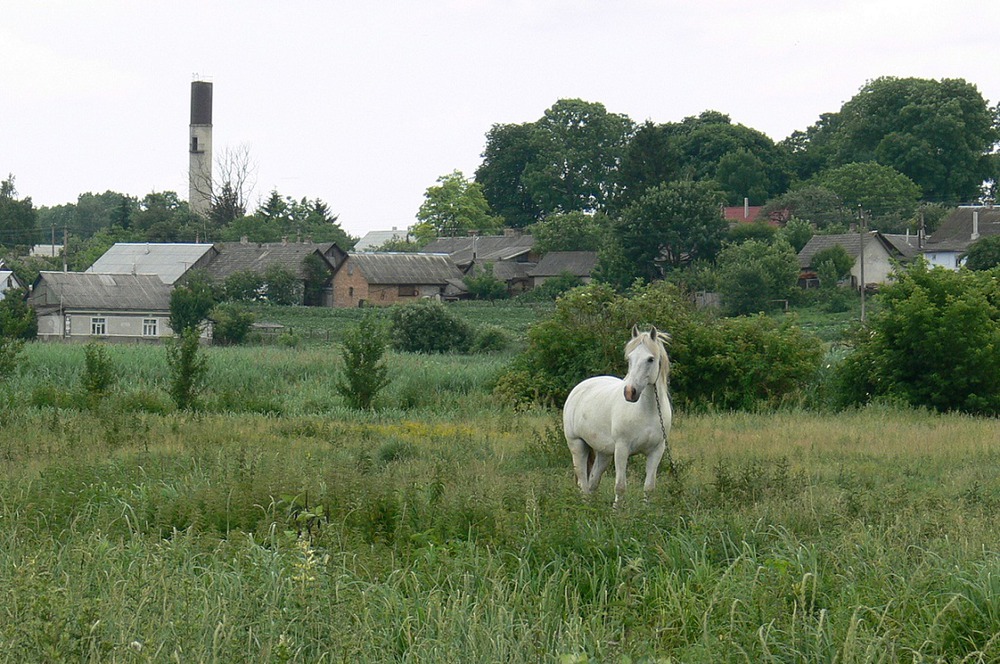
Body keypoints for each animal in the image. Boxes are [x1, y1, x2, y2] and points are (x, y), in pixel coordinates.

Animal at [564, 326, 672, 504]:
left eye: (650, 359)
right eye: (629, 358)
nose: (629, 392)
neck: (646, 410)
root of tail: (579, 388)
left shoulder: (657, 451)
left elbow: (649, 488)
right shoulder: (622, 449)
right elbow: (620, 487)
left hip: (603, 452)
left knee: (593, 481)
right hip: (577, 445)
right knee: (583, 483)